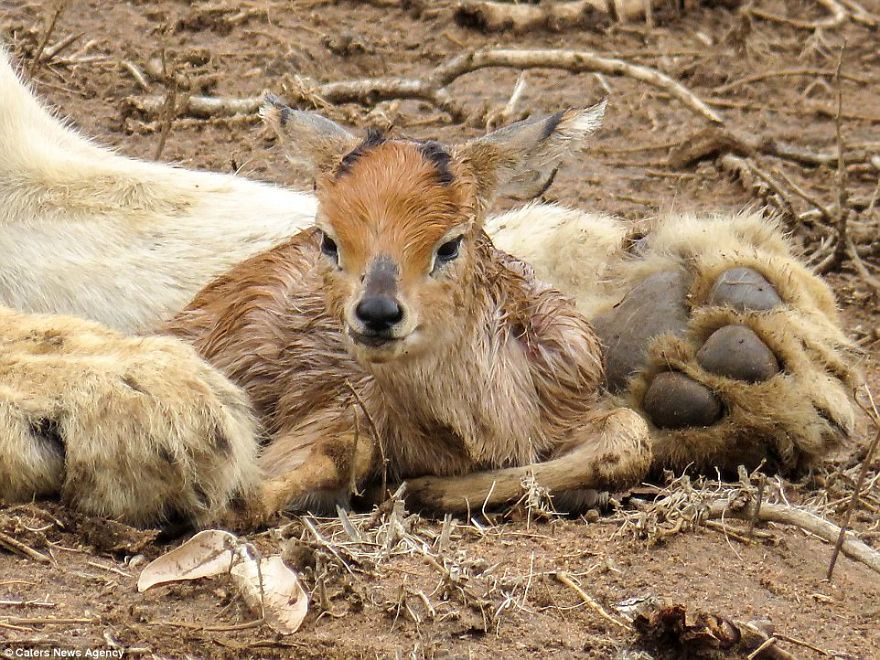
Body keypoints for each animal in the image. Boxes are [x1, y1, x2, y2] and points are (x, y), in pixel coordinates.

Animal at [167, 98, 652, 517]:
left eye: (450, 243)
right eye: (329, 240)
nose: (378, 313)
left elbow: (631, 438)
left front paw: (424, 490)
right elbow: (258, 494)